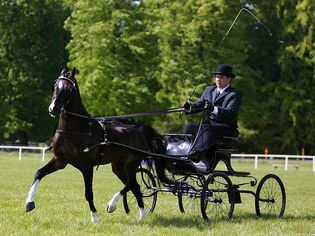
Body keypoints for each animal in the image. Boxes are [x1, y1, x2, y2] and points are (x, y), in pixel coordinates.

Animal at [24, 68, 167, 223]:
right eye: (55, 86)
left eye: (69, 89)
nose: (52, 109)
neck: (74, 130)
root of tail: (139, 131)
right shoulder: (60, 160)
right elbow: (39, 173)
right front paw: (29, 202)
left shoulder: (87, 167)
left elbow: (88, 193)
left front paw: (94, 217)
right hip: (118, 166)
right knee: (135, 186)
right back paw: (142, 215)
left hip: (131, 164)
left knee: (131, 183)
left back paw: (112, 205)